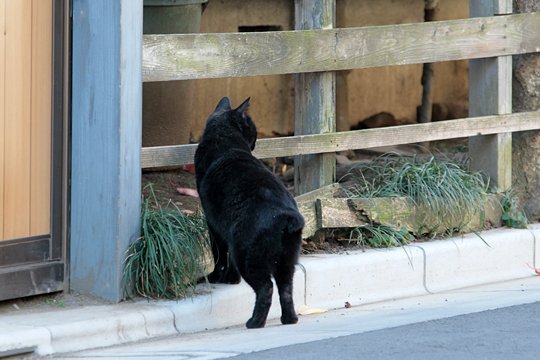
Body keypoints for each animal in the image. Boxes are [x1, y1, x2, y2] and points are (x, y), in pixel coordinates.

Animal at [194, 97, 304, 328]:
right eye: (253, 131)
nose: (255, 143)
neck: (225, 141)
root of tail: (286, 217)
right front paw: (231, 279)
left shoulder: (213, 224)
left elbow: (219, 253)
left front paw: (218, 277)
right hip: (286, 263)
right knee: (285, 290)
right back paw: (289, 319)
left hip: (247, 256)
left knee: (266, 288)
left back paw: (255, 322)